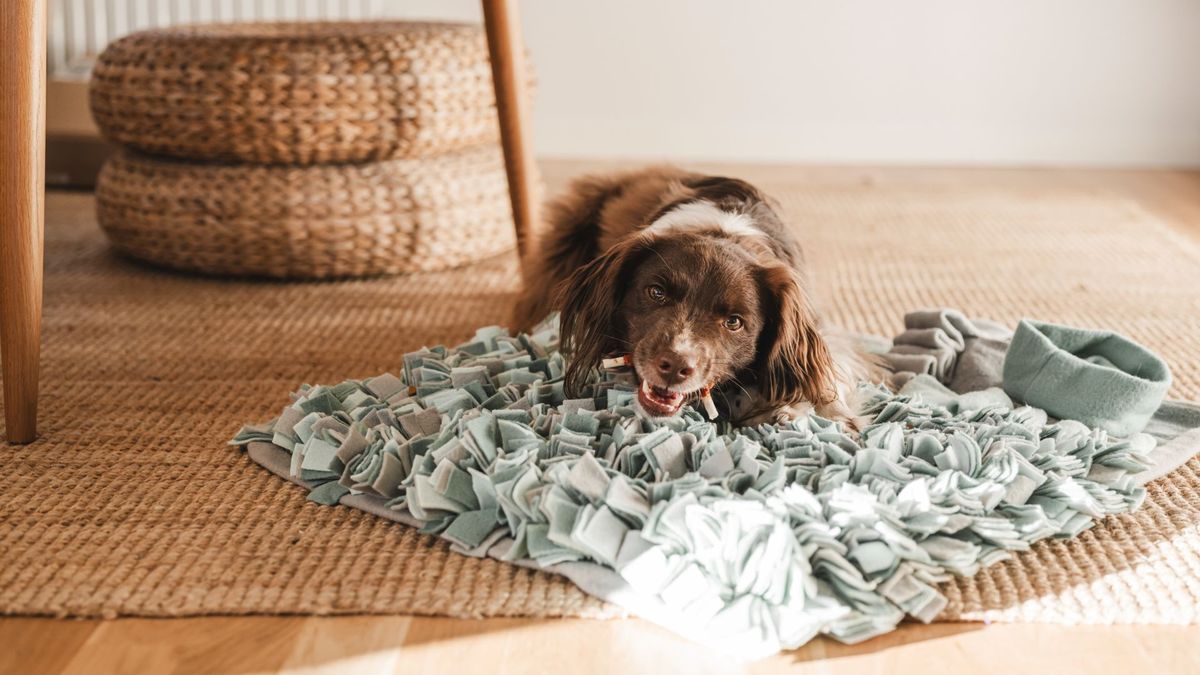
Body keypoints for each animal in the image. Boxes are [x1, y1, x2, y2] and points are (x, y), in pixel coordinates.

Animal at [511, 165, 888, 425]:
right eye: (656, 292)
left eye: (734, 322)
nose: (676, 366)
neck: (723, 231)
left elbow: (828, 371)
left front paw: (823, 413)